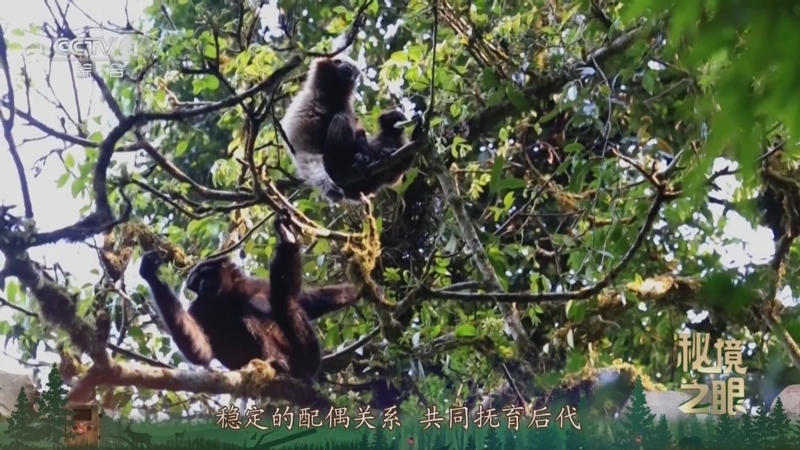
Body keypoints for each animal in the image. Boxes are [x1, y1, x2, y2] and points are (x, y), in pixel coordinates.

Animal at [137, 213, 361, 382]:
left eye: (204, 276)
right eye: (196, 282)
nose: (200, 285)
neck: (226, 297)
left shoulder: (256, 285)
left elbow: (307, 301)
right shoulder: (199, 307)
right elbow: (201, 350)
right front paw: (152, 277)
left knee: (281, 300)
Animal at [280, 54, 417, 203]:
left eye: (350, 65)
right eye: (337, 61)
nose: (347, 66)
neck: (330, 97)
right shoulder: (305, 105)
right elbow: (306, 151)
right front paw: (326, 185)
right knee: (341, 118)